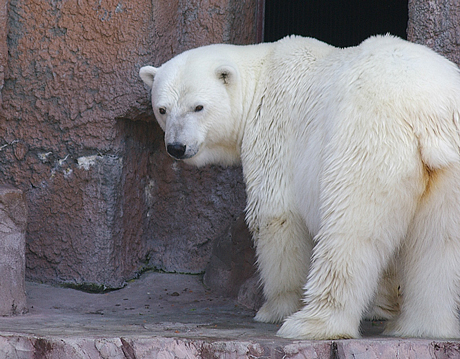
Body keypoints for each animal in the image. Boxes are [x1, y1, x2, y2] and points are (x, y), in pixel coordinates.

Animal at [139, 34, 460, 340]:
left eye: (198, 107)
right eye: (163, 109)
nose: (177, 147)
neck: (262, 75)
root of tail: (427, 115)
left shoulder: (275, 129)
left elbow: (276, 215)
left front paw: (274, 309)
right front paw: (381, 307)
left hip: (367, 140)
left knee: (351, 230)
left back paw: (310, 323)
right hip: (450, 165)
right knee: (439, 243)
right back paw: (421, 326)